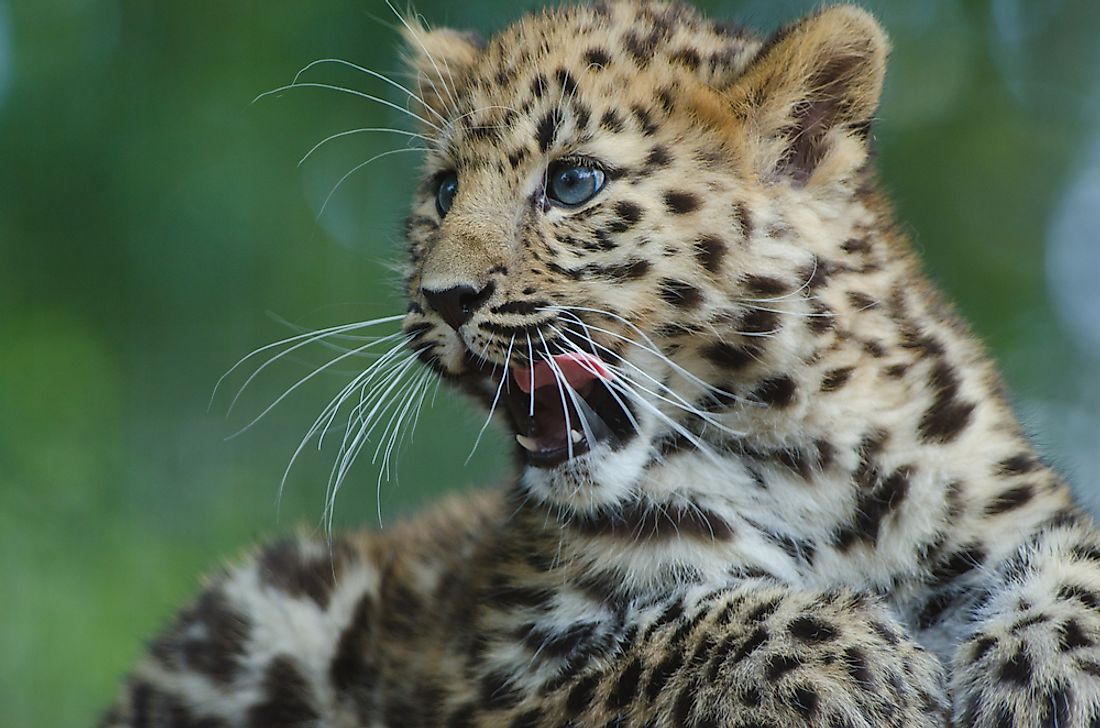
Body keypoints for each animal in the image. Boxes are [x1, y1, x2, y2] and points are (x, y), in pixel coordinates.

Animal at [101, 1, 1100, 728]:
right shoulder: (478, 687)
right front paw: (851, 655)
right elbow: (653, 647)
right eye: (445, 192)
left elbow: (1079, 564)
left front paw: (1037, 675)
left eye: (573, 183)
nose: (445, 296)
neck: (796, 451)